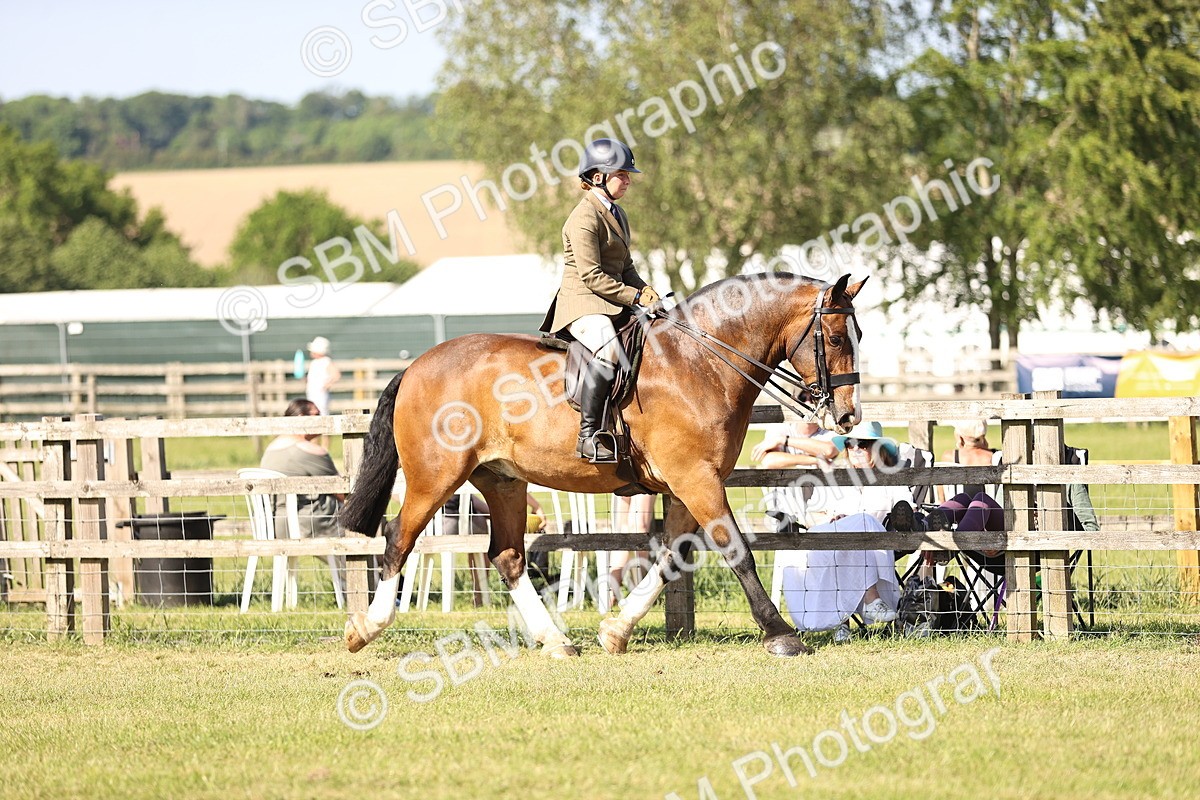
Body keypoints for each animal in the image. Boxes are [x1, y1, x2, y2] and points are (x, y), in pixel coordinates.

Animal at [341, 272, 867, 657]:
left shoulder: (688, 483)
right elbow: (736, 549)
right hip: (436, 476)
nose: (847, 416)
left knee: (507, 556)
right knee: (398, 538)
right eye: (836, 337)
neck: (701, 362)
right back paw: (366, 628)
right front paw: (781, 635)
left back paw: (556, 641)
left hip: (502, 480)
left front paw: (616, 631)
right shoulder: (696, 479)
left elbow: (673, 556)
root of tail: (415, 366)